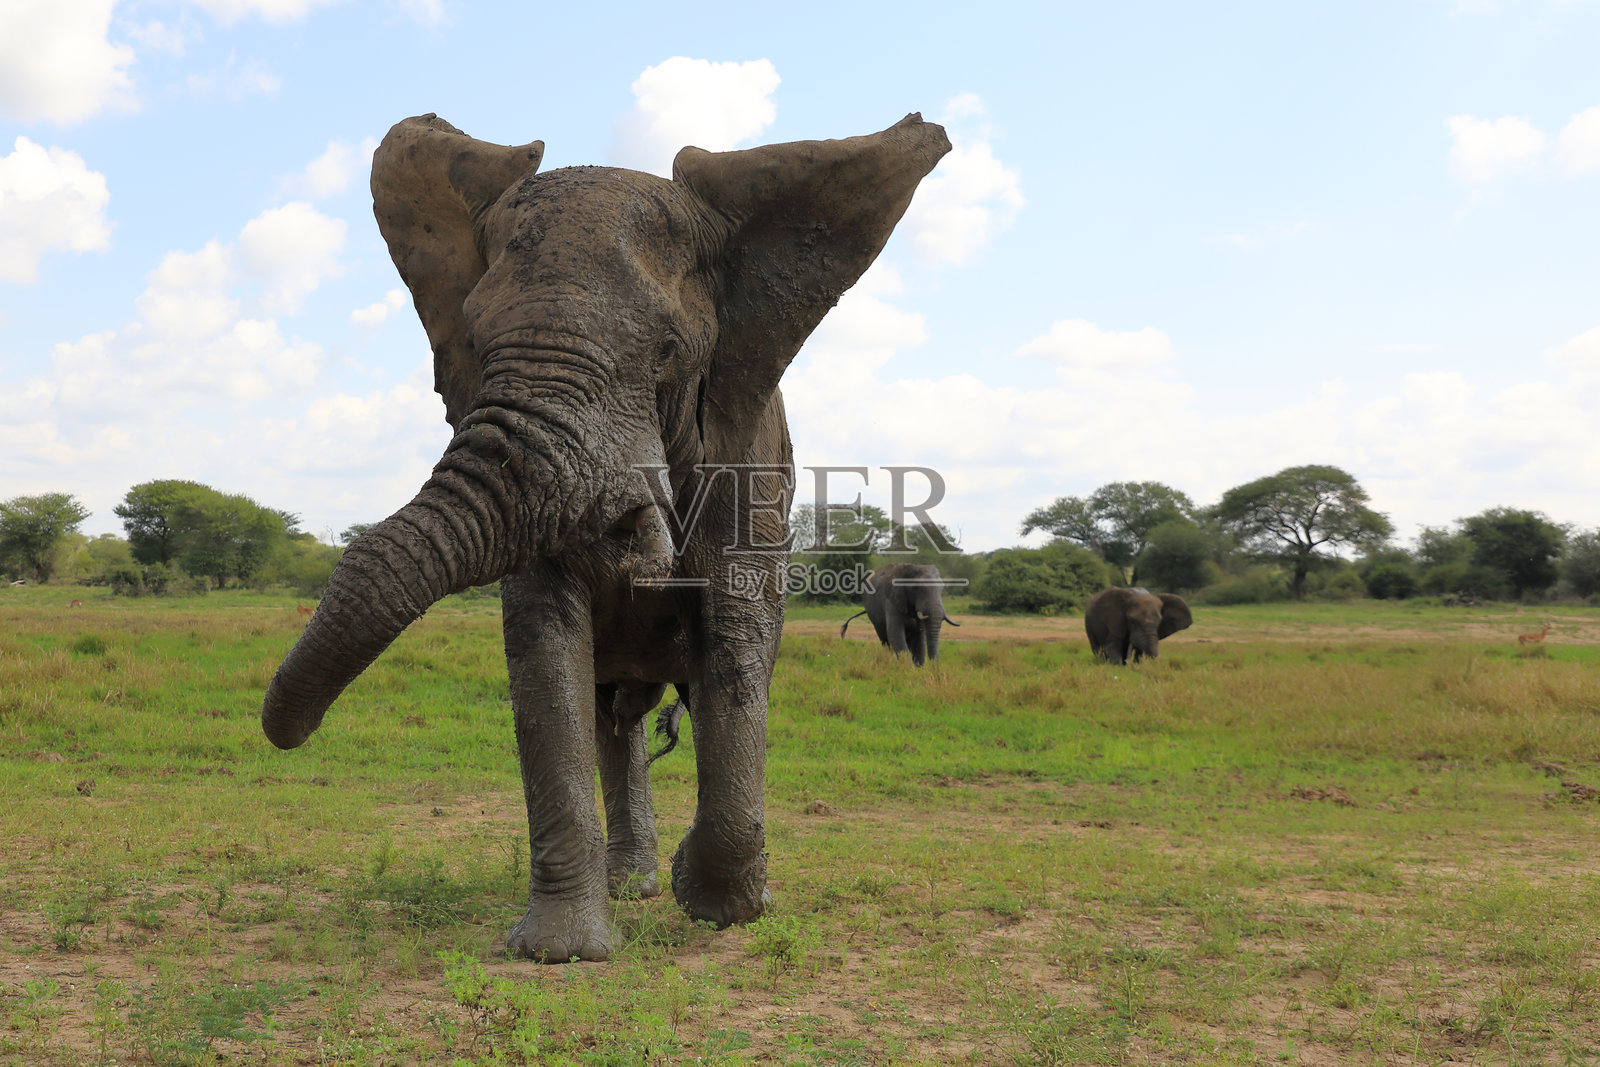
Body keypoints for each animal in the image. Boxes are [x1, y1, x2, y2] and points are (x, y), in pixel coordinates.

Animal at [260, 113, 949, 962]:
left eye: (666, 351)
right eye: (474, 342)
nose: (288, 731)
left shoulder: (746, 461)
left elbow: (736, 642)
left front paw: (719, 904)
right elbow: (545, 652)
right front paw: (561, 952)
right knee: (610, 720)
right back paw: (630, 883)